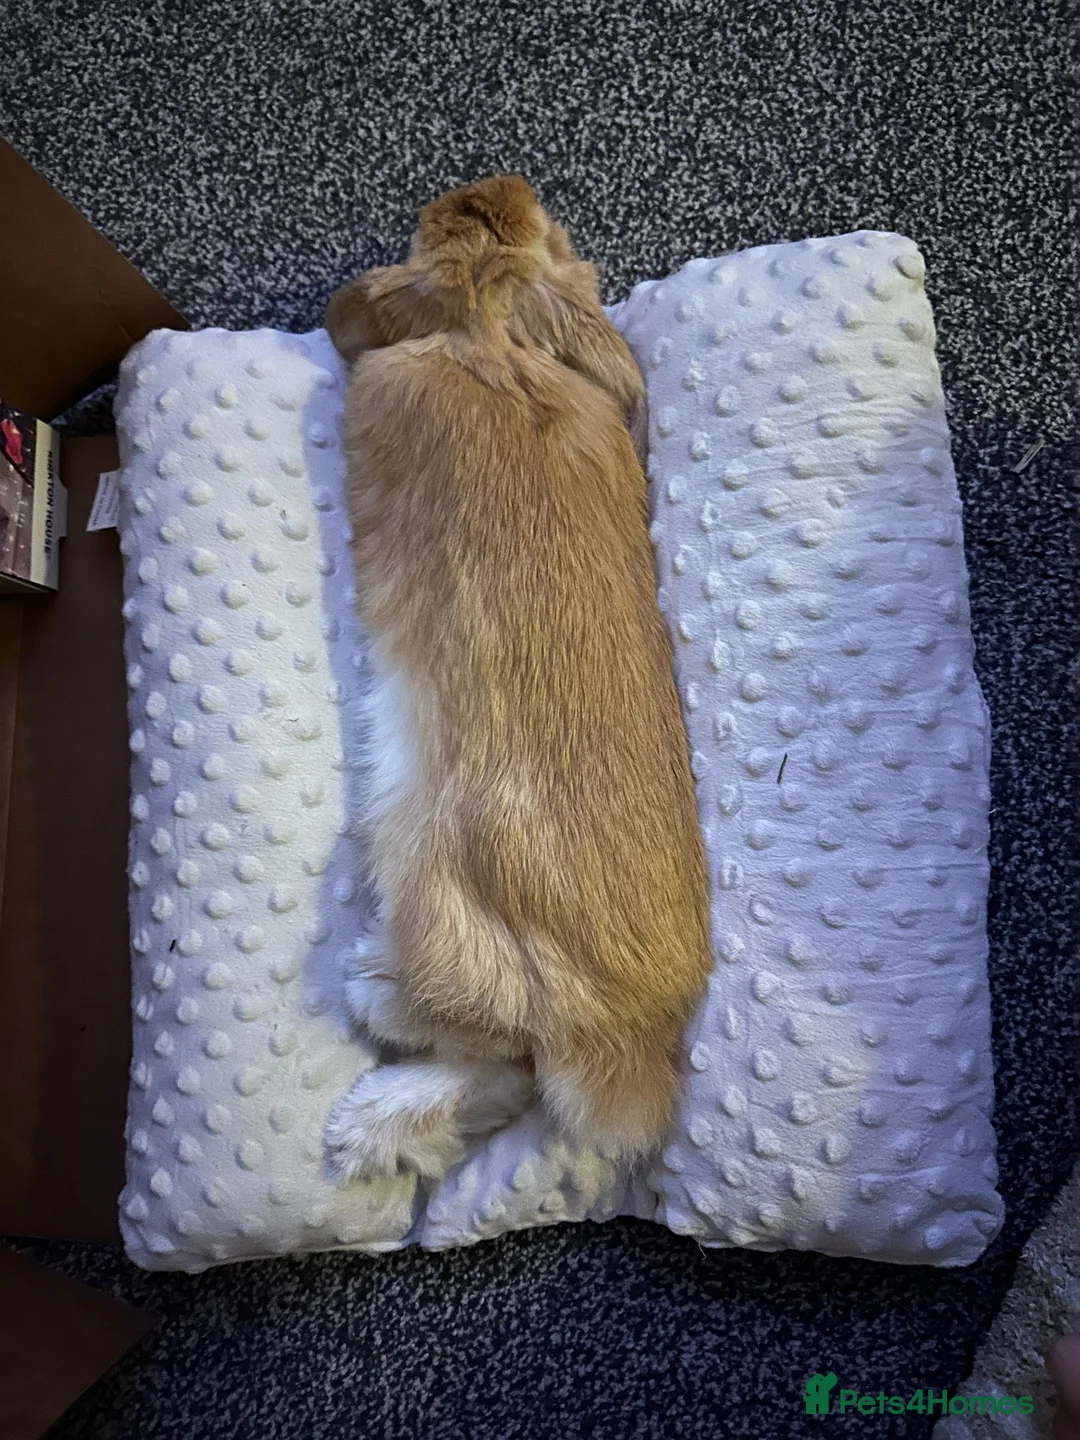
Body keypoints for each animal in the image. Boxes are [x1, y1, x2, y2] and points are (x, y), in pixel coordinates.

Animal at [322, 176, 710, 1183]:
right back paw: (378, 1118)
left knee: (494, 1042)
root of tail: (622, 1035)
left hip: (425, 868)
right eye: (560, 240)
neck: (492, 336)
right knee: (512, 1081)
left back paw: (372, 1010)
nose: (495, 189)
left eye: (428, 233)